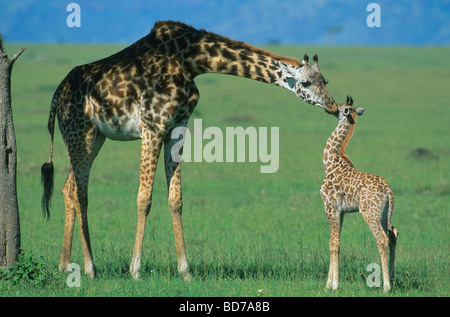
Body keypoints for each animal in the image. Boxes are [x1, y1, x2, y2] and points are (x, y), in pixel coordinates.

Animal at [41, 21, 338, 278]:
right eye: (307, 83)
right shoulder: (152, 126)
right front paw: (135, 269)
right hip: (79, 132)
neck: (192, 61)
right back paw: (90, 268)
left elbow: (176, 199)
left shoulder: (177, 126)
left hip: (94, 138)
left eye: (326, 80)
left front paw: (185, 271)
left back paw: (65, 265)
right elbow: (144, 198)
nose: (334, 106)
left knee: (69, 188)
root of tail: (57, 95)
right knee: (80, 193)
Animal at [318, 96, 400, 292]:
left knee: (381, 238)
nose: (329, 107)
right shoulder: (341, 211)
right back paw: (392, 279)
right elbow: (335, 242)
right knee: (392, 234)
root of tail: (388, 190)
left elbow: (333, 242)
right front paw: (328, 284)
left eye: (341, 107)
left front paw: (334, 285)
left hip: (369, 212)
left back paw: (386, 286)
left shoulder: (330, 207)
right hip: (384, 213)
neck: (330, 163)